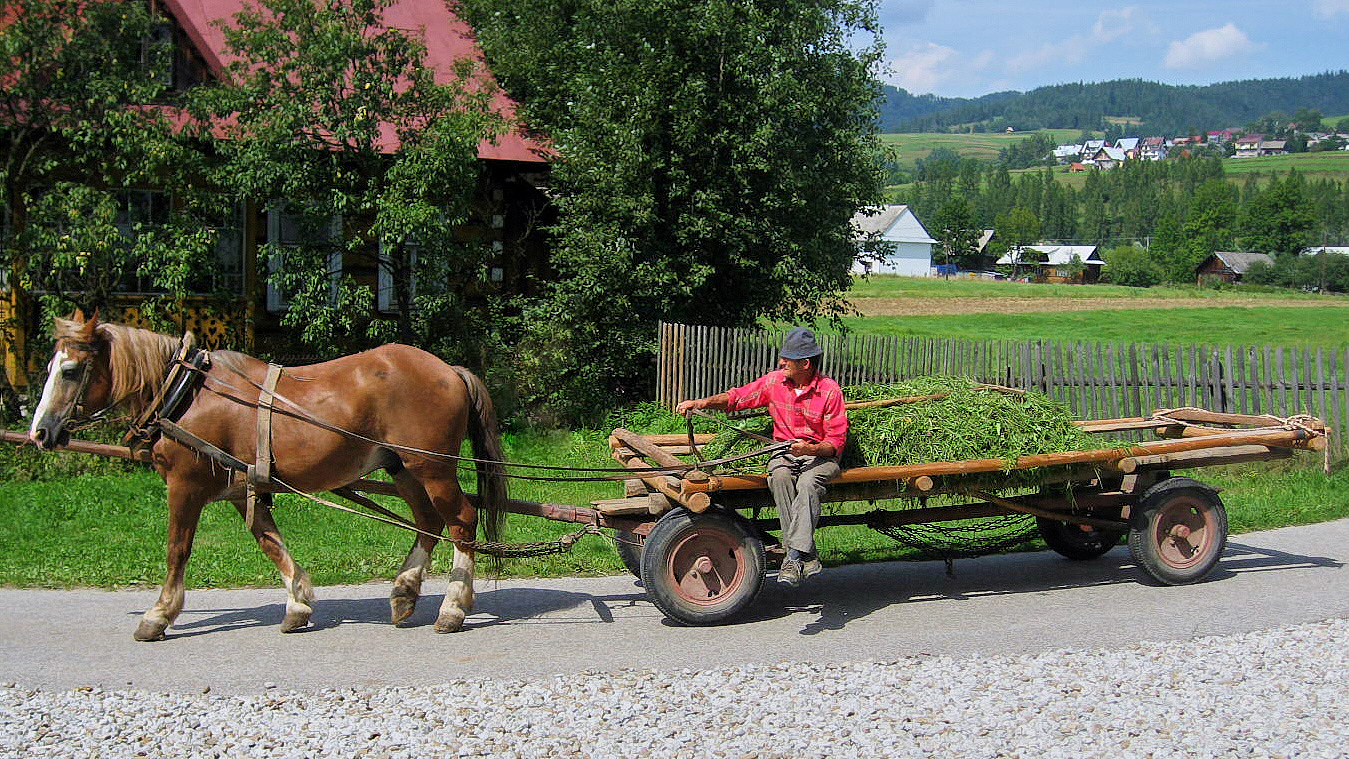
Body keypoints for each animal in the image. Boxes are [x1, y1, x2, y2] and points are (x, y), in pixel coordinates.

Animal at [26, 310, 509, 641]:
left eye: (70, 370)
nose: (40, 432)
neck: (185, 394)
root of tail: (449, 370)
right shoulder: (244, 487)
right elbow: (269, 541)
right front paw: (298, 603)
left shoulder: (185, 486)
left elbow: (177, 550)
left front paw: (158, 615)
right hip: (402, 468)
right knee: (428, 523)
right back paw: (404, 592)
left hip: (432, 466)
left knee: (461, 522)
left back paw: (453, 608)